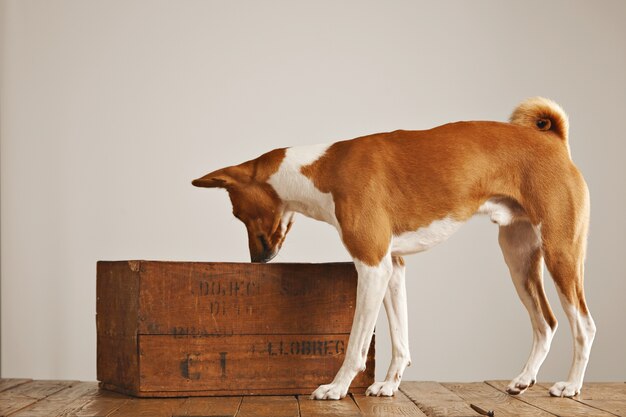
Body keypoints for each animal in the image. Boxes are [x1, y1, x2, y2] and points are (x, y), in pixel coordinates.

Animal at [193, 97, 592, 400]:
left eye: (237, 214)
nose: (256, 260)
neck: (322, 170)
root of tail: (553, 140)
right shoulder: (393, 266)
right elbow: (401, 341)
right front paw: (389, 385)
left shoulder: (371, 266)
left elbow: (355, 344)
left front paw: (336, 388)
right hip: (518, 259)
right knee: (546, 323)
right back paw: (523, 380)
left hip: (560, 254)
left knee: (584, 326)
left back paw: (571, 386)